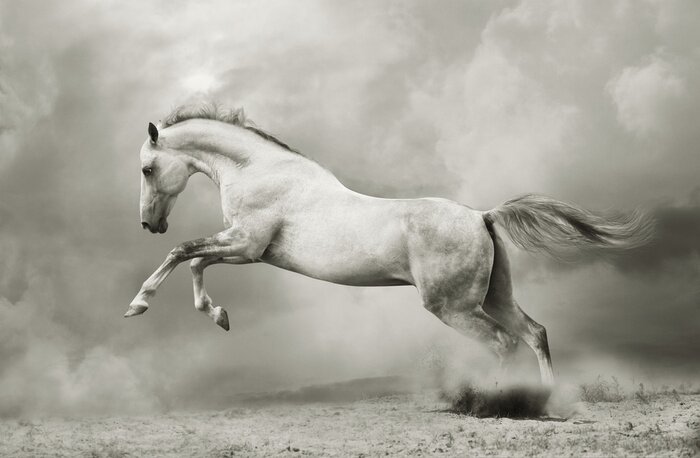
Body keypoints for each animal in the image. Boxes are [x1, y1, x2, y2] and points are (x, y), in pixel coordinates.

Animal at [126, 102, 653, 386]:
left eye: (147, 169)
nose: (149, 224)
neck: (260, 170)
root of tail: (481, 216)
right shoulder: (243, 249)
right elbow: (194, 263)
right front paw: (219, 316)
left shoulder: (247, 245)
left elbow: (183, 254)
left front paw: (138, 305)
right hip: (494, 296)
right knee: (535, 333)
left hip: (454, 306)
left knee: (503, 343)